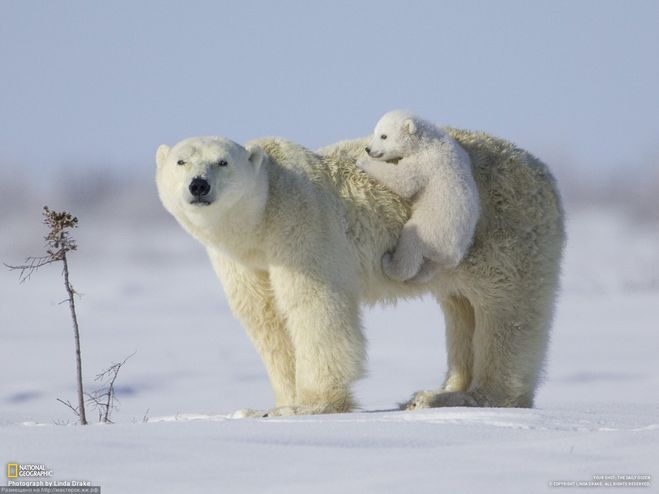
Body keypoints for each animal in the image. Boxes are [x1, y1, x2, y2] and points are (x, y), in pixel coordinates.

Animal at [156, 129, 568, 414]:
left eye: (222, 161)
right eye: (181, 162)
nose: (198, 185)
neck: (262, 219)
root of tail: (545, 173)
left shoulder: (301, 225)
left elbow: (315, 308)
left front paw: (311, 404)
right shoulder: (242, 261)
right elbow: (266, 320)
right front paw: (275, 404)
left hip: (504, 230)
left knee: (505, 312)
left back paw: (478, 396)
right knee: (461, 307)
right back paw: (437, 393)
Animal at [360, 111, 480, 282]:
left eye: (383, 136)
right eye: (375, 132)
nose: (368, 149)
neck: (426, 141)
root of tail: (453, 255)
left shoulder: (425, 162)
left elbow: (403, 181)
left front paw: (362, 162)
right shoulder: (458, 150)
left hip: (430, 231)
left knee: (410, 245)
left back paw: (389, 263)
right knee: (429, 268)